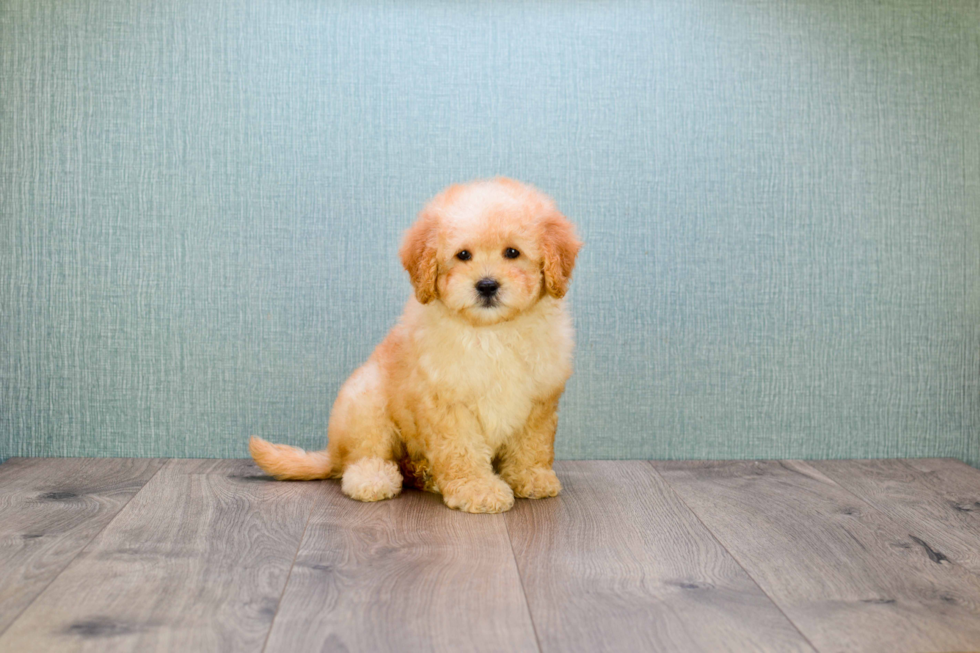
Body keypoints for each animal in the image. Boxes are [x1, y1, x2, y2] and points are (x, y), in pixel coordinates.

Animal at [249, 180, 580, 516]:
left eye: (513, 252)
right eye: (463, 255)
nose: (487, 285)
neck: (491, 332)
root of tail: (332, 452)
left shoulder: (539, 400)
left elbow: (532, 445)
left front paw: (531, 477)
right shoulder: (448, 402)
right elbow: (462, 449)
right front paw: (477, 488)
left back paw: (424, 474)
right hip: (365, 401)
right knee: (363, 455)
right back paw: (373, 478)